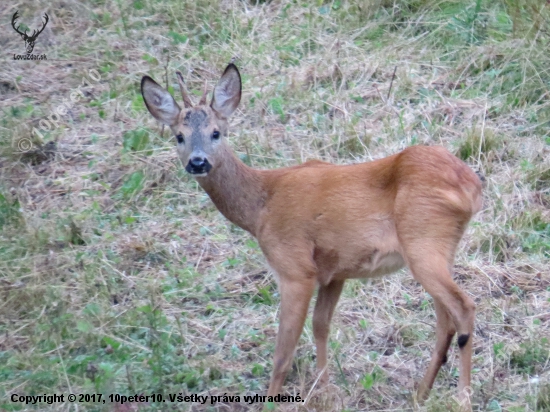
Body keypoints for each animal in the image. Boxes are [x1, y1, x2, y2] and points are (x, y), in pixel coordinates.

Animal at [141, 63, 484, 406]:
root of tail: (471, 187)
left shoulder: (295, 267)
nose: (198, 162)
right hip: (439, 248)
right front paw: (326, 391)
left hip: (423, 240)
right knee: (445, 320)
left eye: (216, 132)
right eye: (179, 136)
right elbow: (321, 326)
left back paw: (463, 399)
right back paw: (420, 394)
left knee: (464, 307)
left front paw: (272, 402)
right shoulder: (334, 272)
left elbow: (283, 351)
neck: (260, 206)